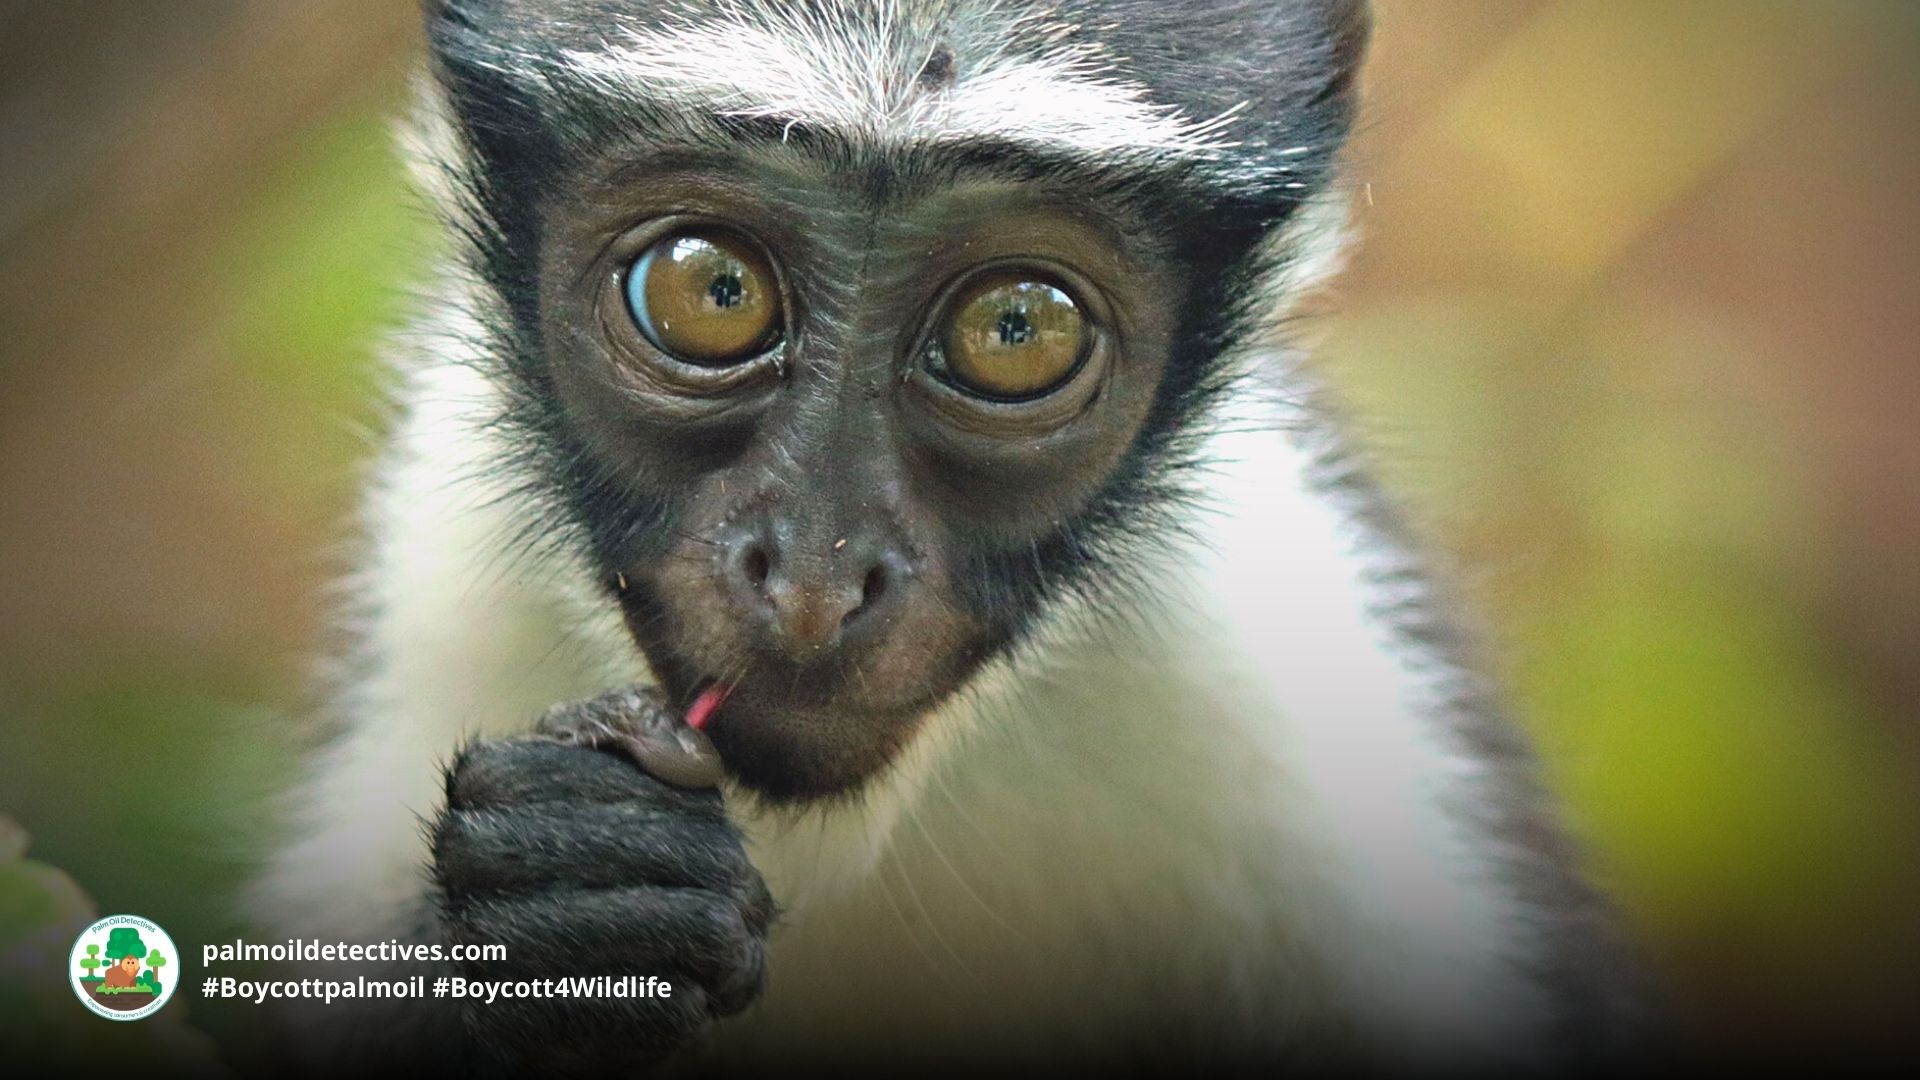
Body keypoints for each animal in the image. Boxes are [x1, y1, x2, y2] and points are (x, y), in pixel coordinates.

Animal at [254, 0, 1648, 1074]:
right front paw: (563, 908)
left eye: (1015, 329)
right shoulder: (436, 556)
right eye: (713, 289)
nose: (815, 575)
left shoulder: (1304, 679)